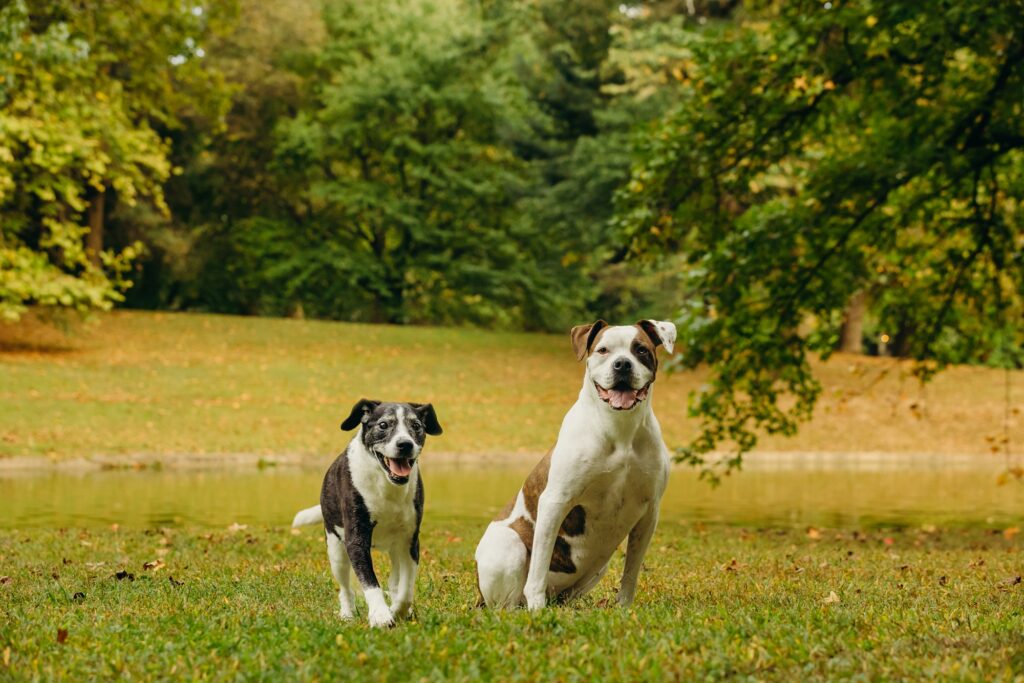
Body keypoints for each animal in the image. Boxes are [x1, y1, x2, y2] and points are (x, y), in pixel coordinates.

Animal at [292, 401, 444, 630]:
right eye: (383, 425)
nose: (405, 444)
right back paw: (347, 613)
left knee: (395, 580)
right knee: (345, 588)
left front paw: (398, 610)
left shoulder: (410, 541)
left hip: (395, 550)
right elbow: (370, 583)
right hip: (336, 551)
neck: (385, 482)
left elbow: (406, 589)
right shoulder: (356, 539)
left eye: (416, 425)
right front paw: (380, 615)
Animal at [475, 319, 675, 610]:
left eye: (641, 350)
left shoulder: (649, 512)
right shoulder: (555, 502)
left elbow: (631, 572)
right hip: (508, 544)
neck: (620, 428)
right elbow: (538, 569)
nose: (622, 364)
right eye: (603, 350)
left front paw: (624, 609)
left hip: (597, 569)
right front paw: (537, 610)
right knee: (509, 601)